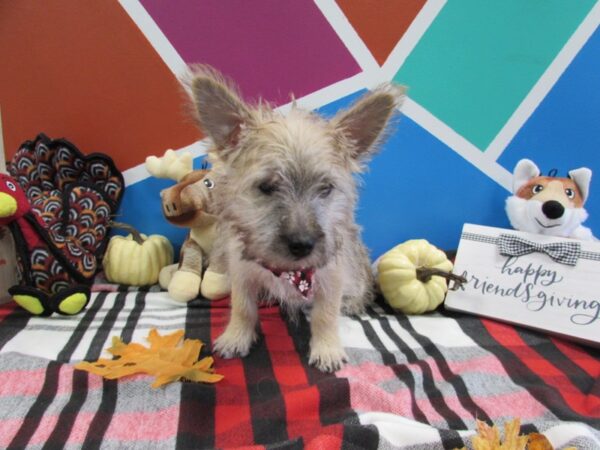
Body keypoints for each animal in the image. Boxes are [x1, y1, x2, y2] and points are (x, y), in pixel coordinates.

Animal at [185, 65, 406, 370]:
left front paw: (326, 348)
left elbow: (326, 315)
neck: (289, 272)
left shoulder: (331, 277)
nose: (302, 245)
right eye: (267, 187)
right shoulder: (242, 273)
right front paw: (236, 336)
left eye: (325, 188)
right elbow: (242, 307)